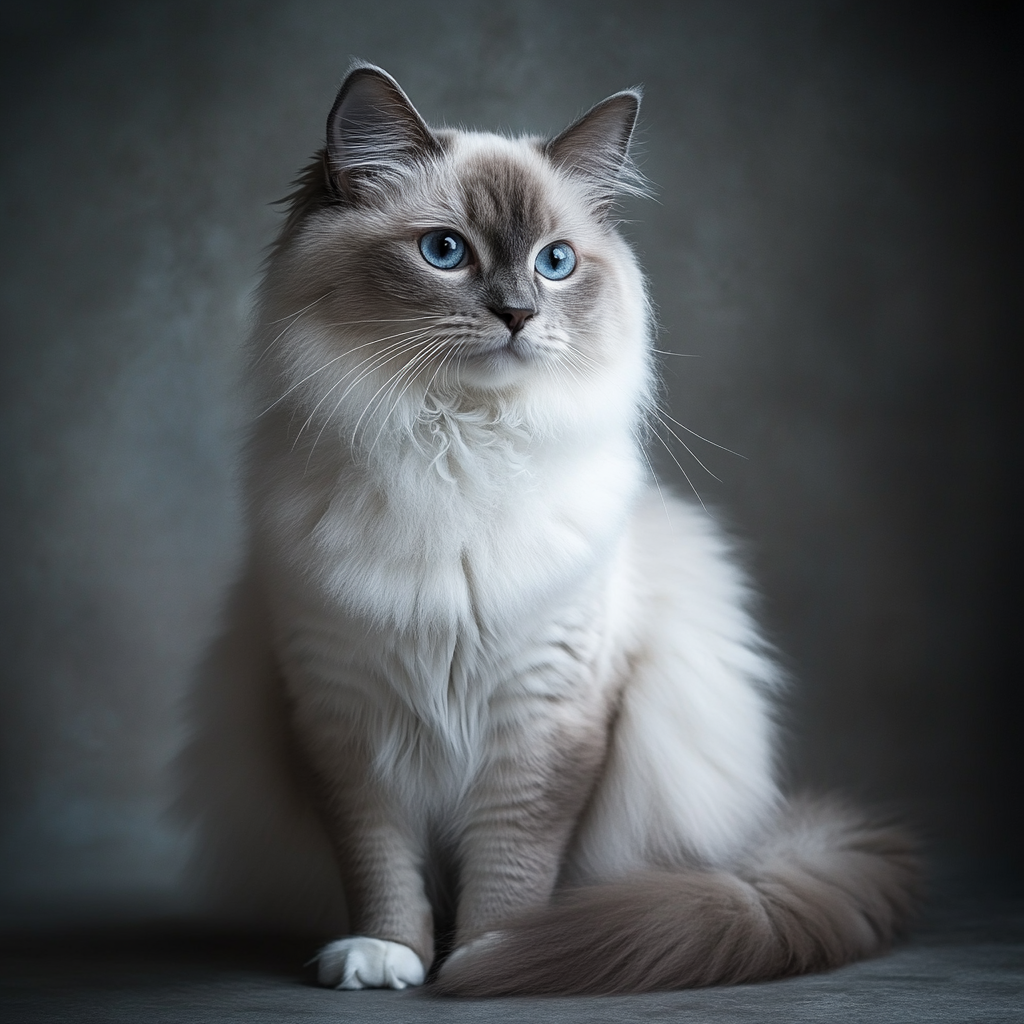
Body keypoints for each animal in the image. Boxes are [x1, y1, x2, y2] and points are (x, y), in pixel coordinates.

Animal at [247, 61, 921, 991]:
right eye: (444, 251)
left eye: (555, 263)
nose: (519, 314)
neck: (457, 443)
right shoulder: (341, 715)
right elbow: (379, 860)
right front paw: (389, 955)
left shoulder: (547, 716)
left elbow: (514, 862)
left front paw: (494, 957)